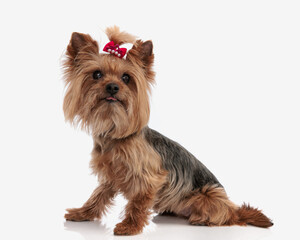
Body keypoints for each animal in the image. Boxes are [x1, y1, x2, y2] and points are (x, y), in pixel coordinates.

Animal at [62, 25, 274, 234]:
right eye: (97, 74)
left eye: (126, 77)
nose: (113, 87)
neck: (115, 133)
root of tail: (233, 209)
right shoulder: (110, 176)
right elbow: (98, 195)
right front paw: (83, 213)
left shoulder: (151, 178)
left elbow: (138, 202)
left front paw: (130, 226)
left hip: (207, 193)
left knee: (225, 218)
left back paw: (202, 219)